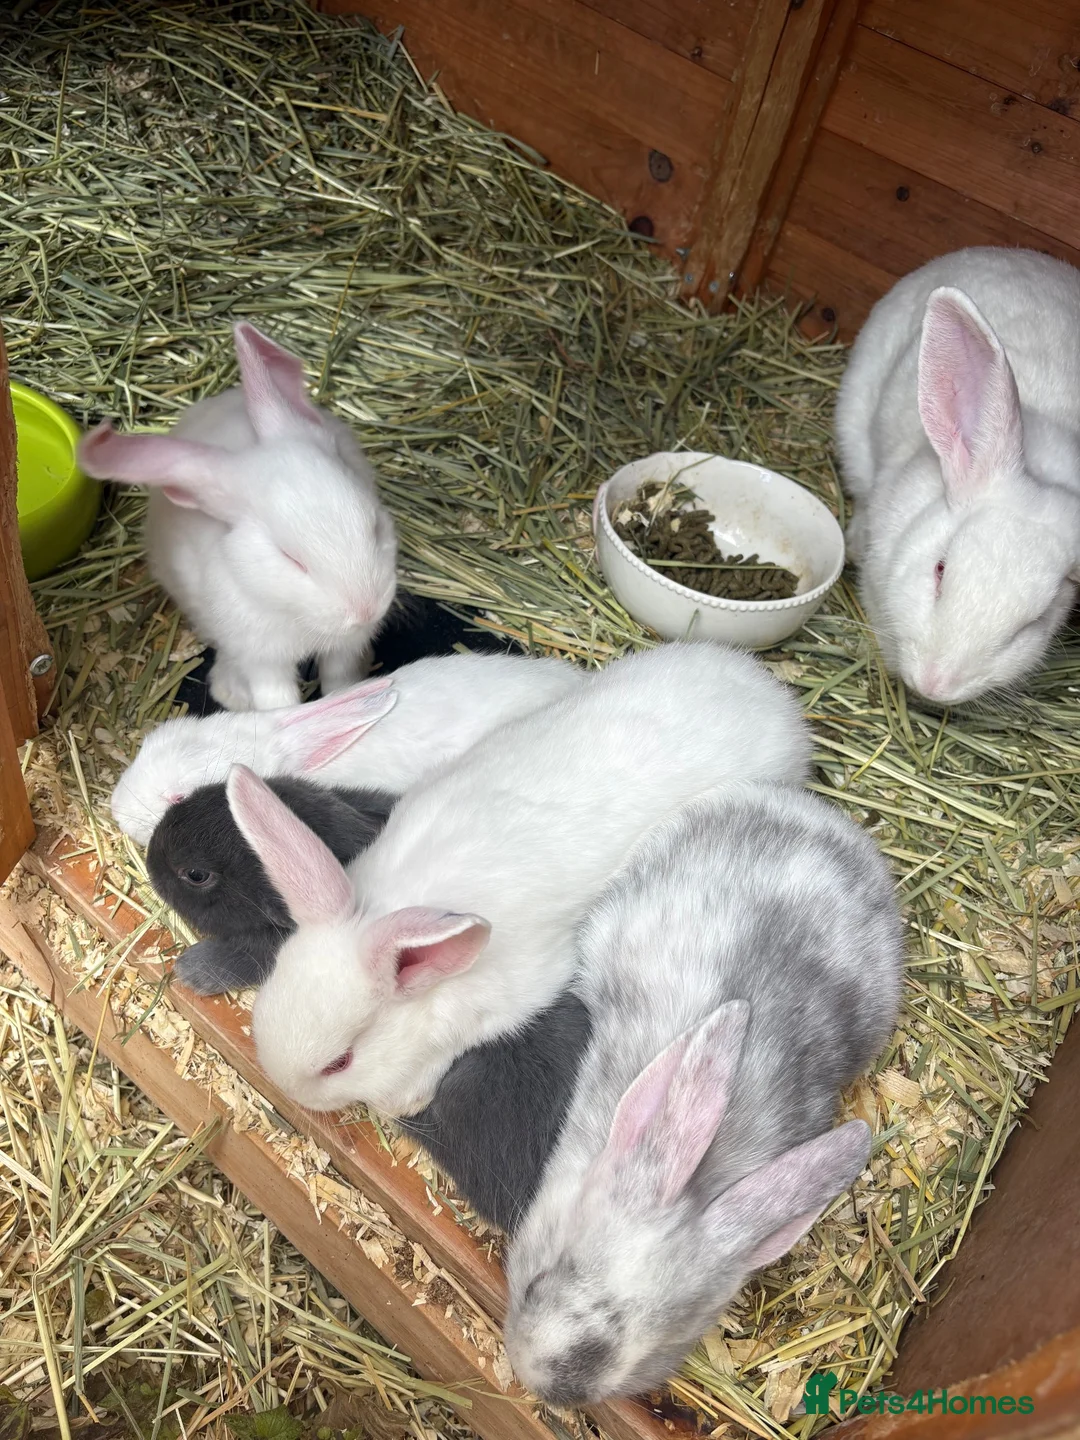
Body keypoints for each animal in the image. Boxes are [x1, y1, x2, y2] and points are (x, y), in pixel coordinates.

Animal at [77, 322, 398, 713]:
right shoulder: (261, 657)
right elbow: (277, 698)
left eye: (374, 527)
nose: (366, 611)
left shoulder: (343, 648)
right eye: (290, 558)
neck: (297, 616)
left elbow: (340, 679)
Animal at [226, 641, 814, 1119]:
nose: (287, 1090)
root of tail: (768, 689)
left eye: (340, 1062)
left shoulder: (521, 989)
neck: (391, 906)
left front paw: (405, 1102)